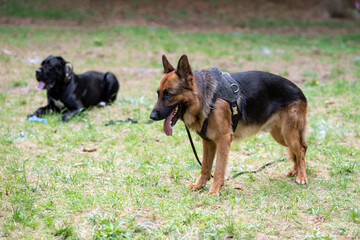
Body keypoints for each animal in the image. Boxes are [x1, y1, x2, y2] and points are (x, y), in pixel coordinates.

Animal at [150, 54, 308, 195]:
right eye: (158, 93)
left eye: (168, 94)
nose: (151, 116)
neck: (205, 96)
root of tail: (300, 90)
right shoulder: (208, 141)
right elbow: (205, 167)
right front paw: (199, 185)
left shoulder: (223, 140)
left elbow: (219, 169)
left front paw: (214, 191)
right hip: (280, 136)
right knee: (301, 148)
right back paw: (295, 171)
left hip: (288, 134)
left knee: (301, 149)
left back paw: (302, 176)